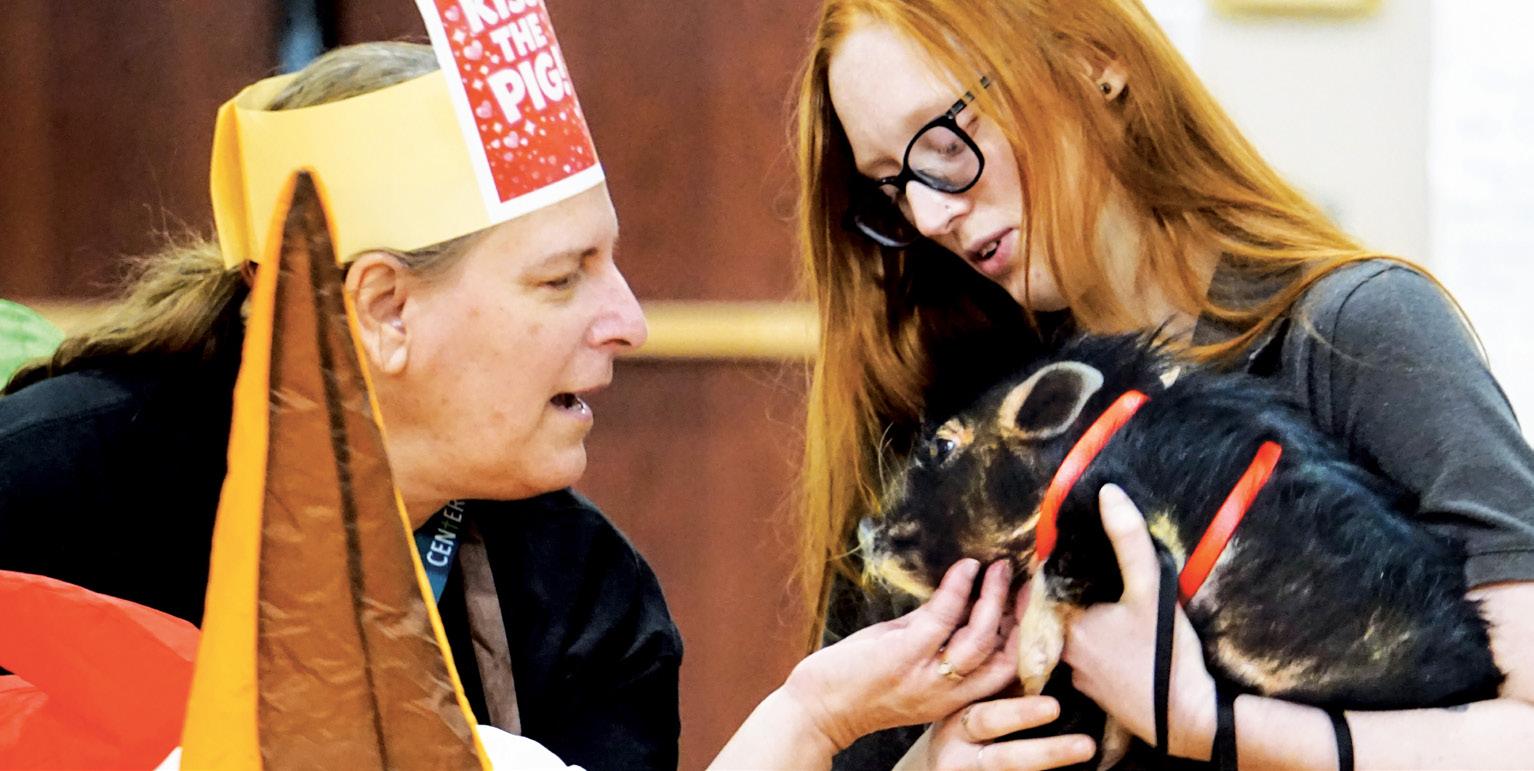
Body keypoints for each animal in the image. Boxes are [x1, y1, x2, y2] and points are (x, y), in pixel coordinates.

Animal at [860, 333, 1503, 767]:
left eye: (942, 446)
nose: (866, 529)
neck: (1088, 453)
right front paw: (1106, 745)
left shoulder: (1120, 518)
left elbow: (1061, 572)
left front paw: (1034, 671)